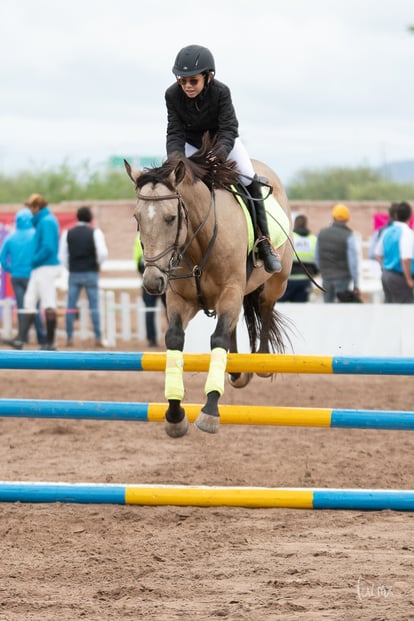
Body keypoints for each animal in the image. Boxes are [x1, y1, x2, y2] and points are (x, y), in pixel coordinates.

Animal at [124, 139, 292, 436]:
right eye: (137, 218)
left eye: (171, 218)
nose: (152, 282)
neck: (197, 242)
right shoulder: (180, 299)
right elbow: (175, 340)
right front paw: (175, 414)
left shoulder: (231, 291)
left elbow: (219, 339)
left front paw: (209, 412)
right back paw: (236, 371)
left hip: (276, 280)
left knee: (265, 306)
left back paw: (262, 361)